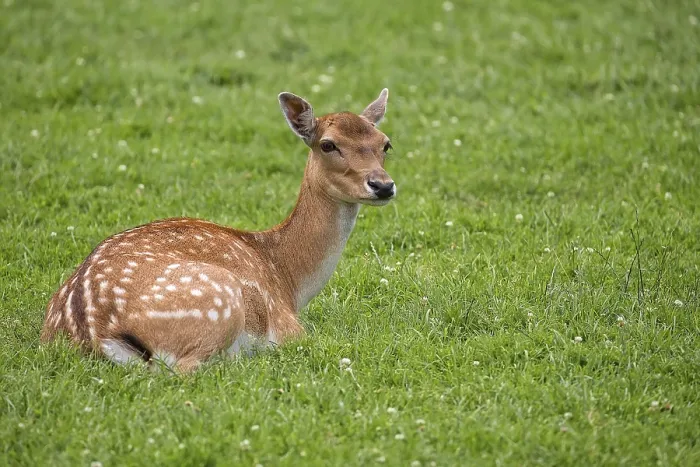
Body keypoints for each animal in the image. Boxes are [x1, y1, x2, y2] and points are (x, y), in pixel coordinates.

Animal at [41, 88, 397, 372]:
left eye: (385, 144)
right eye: (328, 145)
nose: (383, 185)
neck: (287, 280)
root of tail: (92, 333)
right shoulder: (288, 326)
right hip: (219, 300)